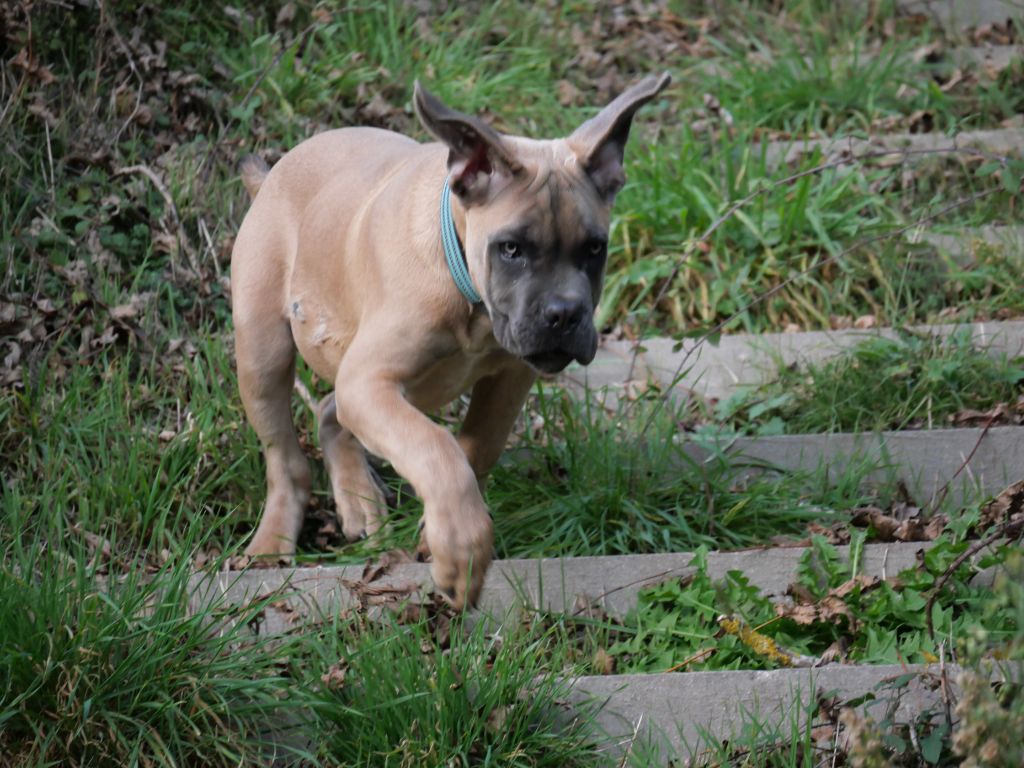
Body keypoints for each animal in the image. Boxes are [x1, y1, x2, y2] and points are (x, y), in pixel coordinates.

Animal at [235, 75, 675, 610]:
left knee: (328, 410)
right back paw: (273, 541)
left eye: (595, 248)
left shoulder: (510, 376)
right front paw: (461, 549)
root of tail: (271, 176)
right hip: (263, 352)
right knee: (284, 456)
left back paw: (360, 503)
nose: (565, 314)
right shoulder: (370, 380)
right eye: (511, 248)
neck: (471, 300)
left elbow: (476, 446)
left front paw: (438, 532)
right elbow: (436, 448)